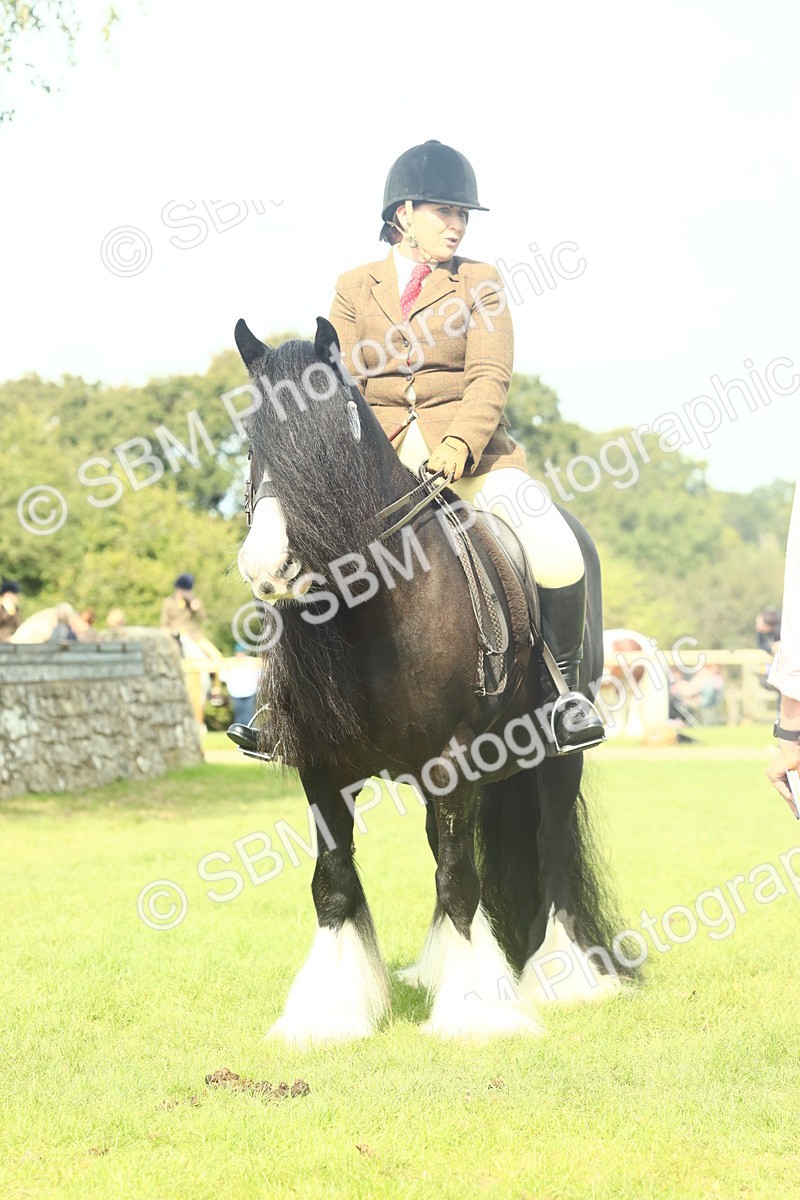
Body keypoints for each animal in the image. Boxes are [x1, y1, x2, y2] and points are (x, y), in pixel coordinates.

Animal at [234, 316, 636, 1046]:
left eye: (338, 426)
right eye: (254, 437)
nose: (269, 567)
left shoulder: (453, 760)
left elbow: (459, 879)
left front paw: (479, 1014)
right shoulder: (323, 766)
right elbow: (335, 881)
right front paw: (328, 1014)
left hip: (556, 753)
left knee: (550, 847)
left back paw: (563, 978)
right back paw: (438, 968)